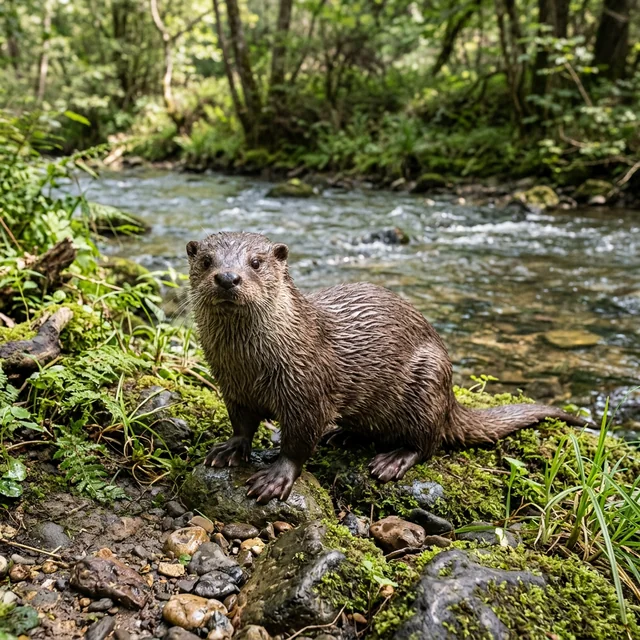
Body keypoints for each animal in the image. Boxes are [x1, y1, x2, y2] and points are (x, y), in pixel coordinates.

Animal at [187, 231, 586, 504]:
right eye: (206, 261)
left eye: (256, 262)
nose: (228, 277)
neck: (250, 366)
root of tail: (450, 397)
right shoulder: (232, 388)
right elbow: (242, 424)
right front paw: (229, 449)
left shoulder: (307, 390)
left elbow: (298, 442)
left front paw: (276, 477)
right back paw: (343, 435)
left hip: (427, 380)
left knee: (429, 442)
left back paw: (392, 460)